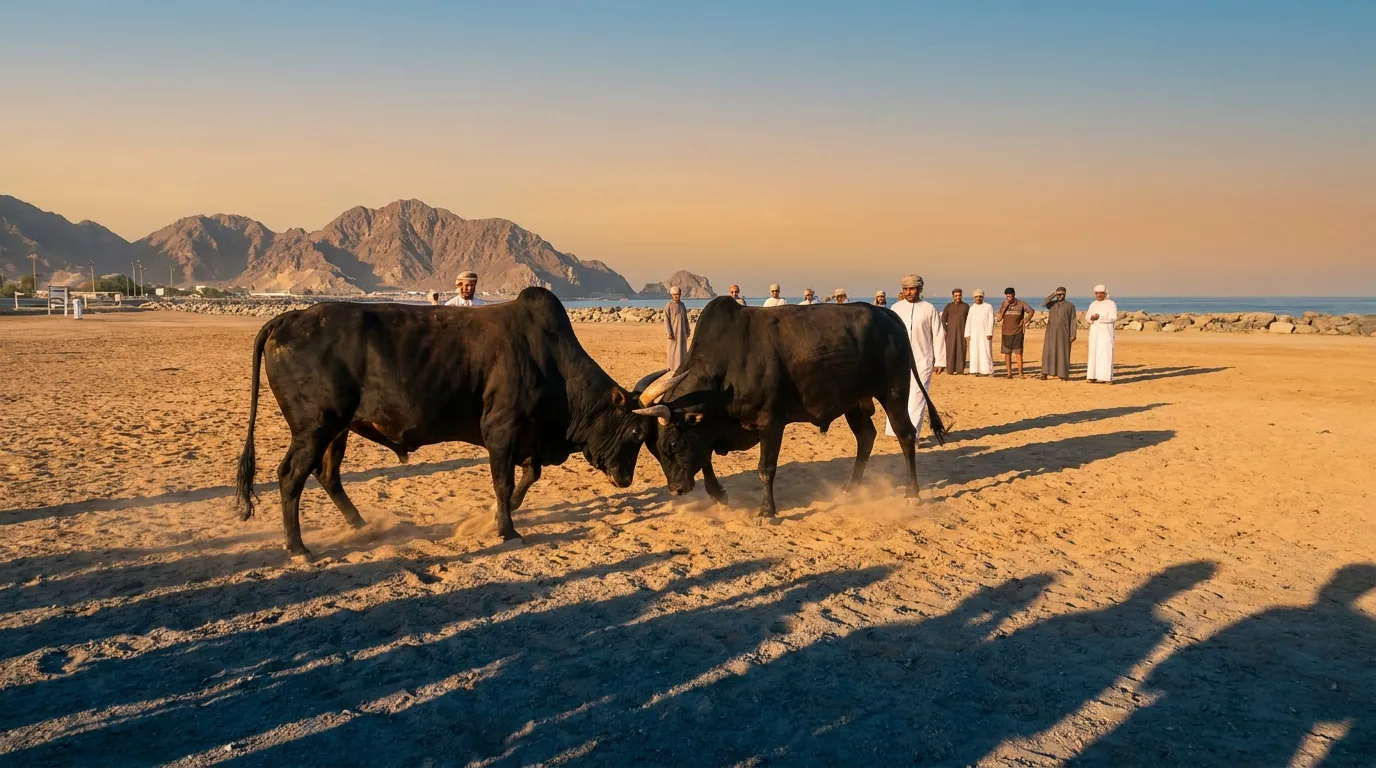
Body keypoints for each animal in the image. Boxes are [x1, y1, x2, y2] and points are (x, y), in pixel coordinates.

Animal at [234, 287, 655, 559]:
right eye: (636, 433)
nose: (625, 479)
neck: (552, 363)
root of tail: (289, 317)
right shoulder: (501, 430)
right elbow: (503, 483)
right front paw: (507, 529)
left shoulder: (528, 439)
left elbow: (529, 475)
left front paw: (506, 512)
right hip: (314, 427)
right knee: (291, 476)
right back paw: (298, 548)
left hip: (337, 429)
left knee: (326, 474)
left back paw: (360, 525)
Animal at [631, 297, 946, 517]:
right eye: (655, 449)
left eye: (673, 443)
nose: (676, 489)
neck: (728, 367)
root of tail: (888, 315)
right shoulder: (711, 429)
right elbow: (704, 458)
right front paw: (719, 495)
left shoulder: (770, 422)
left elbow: (766, 468)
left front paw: (767, 511)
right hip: (854, 404)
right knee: (866, 439)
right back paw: (850, 490)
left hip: (893, 393)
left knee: (905, 435)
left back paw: (911, 493)